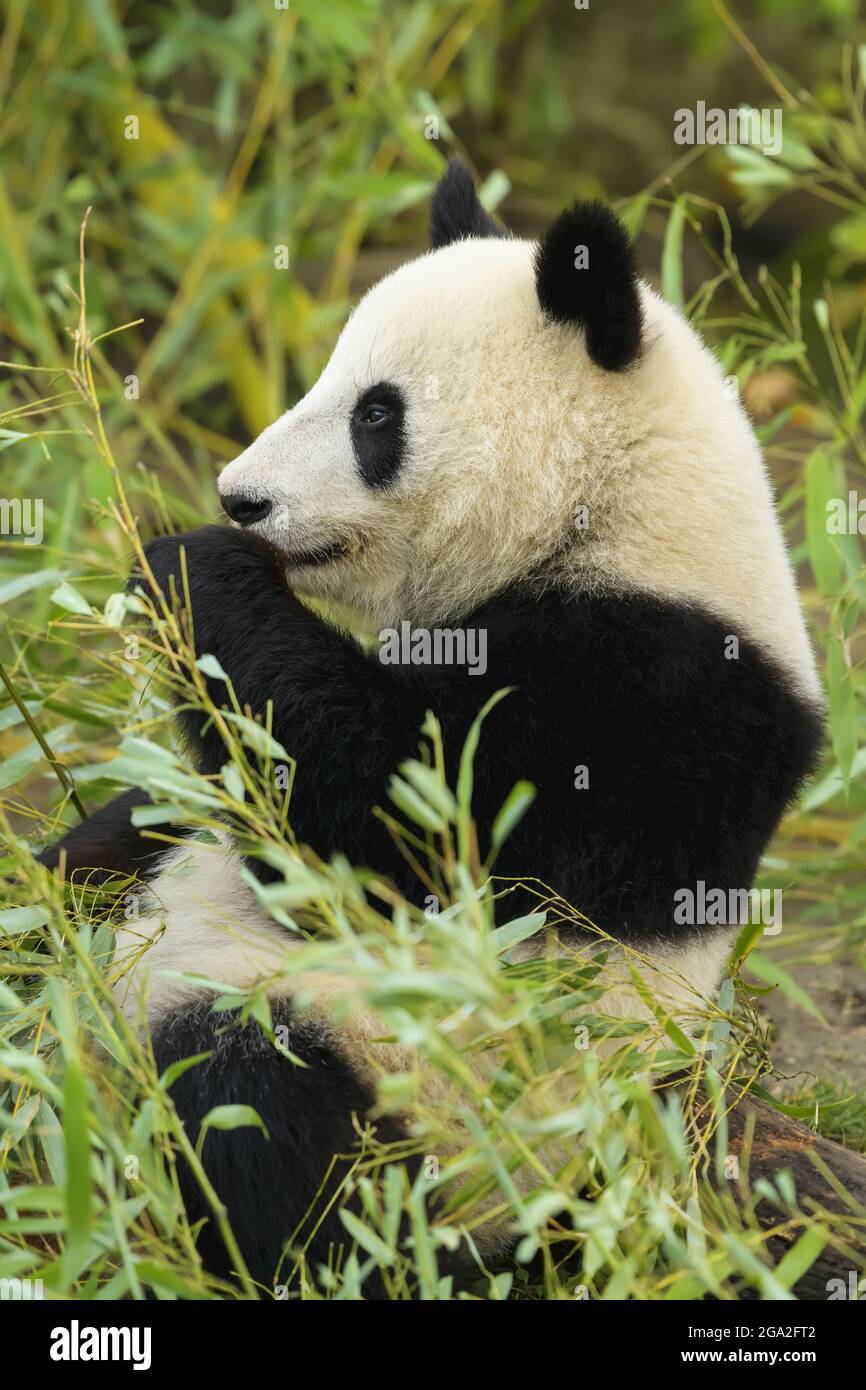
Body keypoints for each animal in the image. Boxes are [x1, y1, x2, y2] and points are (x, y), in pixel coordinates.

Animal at [41, 160, 823, 1291]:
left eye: (377, 414)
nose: (240, 499)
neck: (615, 505)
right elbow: (176, 802)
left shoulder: (653, 695)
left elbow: (392, 826)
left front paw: (187, 563)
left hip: (436, 1105)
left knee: (260, 1109)